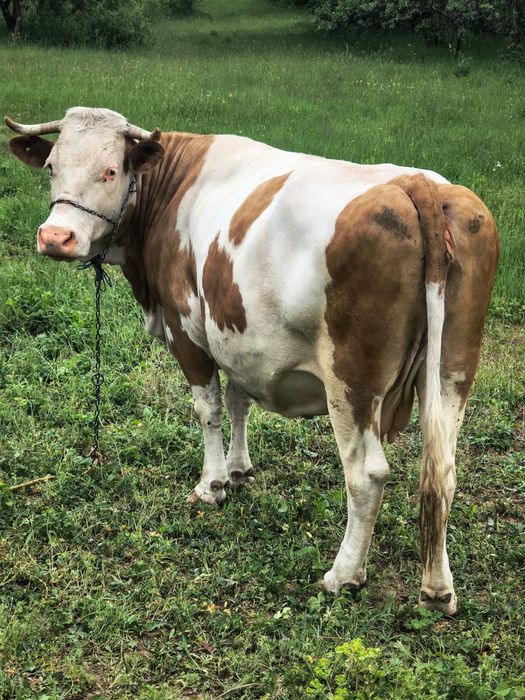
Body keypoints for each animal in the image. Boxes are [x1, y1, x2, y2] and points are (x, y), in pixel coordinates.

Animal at [6, 107, 499, 615]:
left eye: (110, 170)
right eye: (51, 167)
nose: (55, 236)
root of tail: (419, 184)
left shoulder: (187, 330)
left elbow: (208, 409)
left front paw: (213, 484)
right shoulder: (240, 339)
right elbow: (238, 401)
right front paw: (239, 470)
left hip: (351, 381)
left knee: (366, 473)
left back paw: (343, 575)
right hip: (452, 372)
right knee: (442, 472)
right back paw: (438, 589)